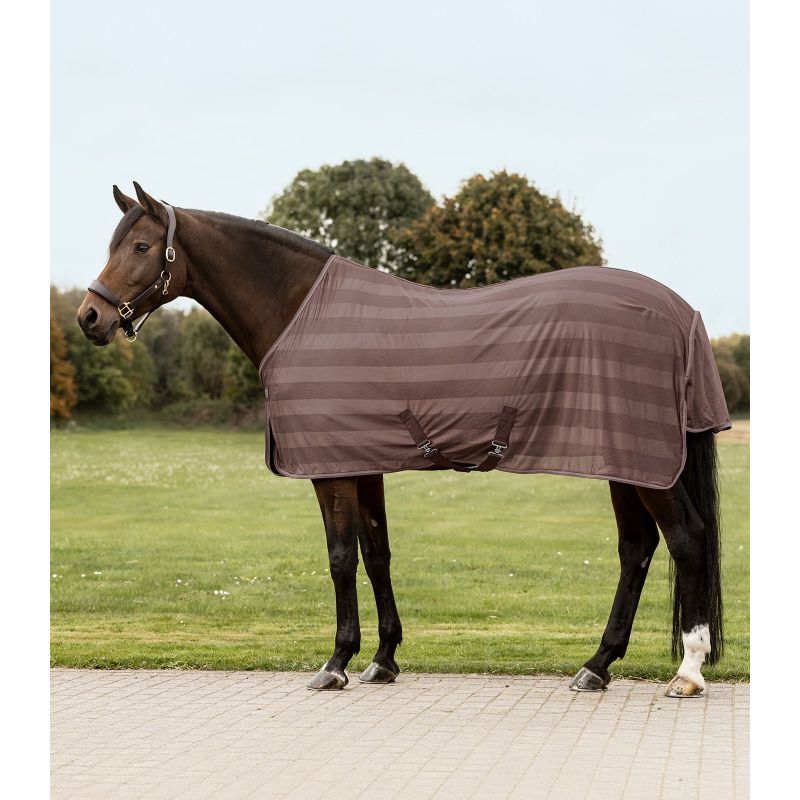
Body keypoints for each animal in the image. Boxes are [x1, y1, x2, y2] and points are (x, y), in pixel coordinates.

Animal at [76, 182, 727, 697]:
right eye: (113, 244)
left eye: (140, 247)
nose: (89, 318)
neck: (303, 312)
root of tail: (682, 312)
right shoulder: (364, 463)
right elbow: (377, 554)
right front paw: (383, 660)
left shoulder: (332, 470)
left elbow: (341, 558)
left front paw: (336, 662)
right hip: (626, 462)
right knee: (637, 549)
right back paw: (596, 665)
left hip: (647, 464)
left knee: (687, 539)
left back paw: (687, 672)